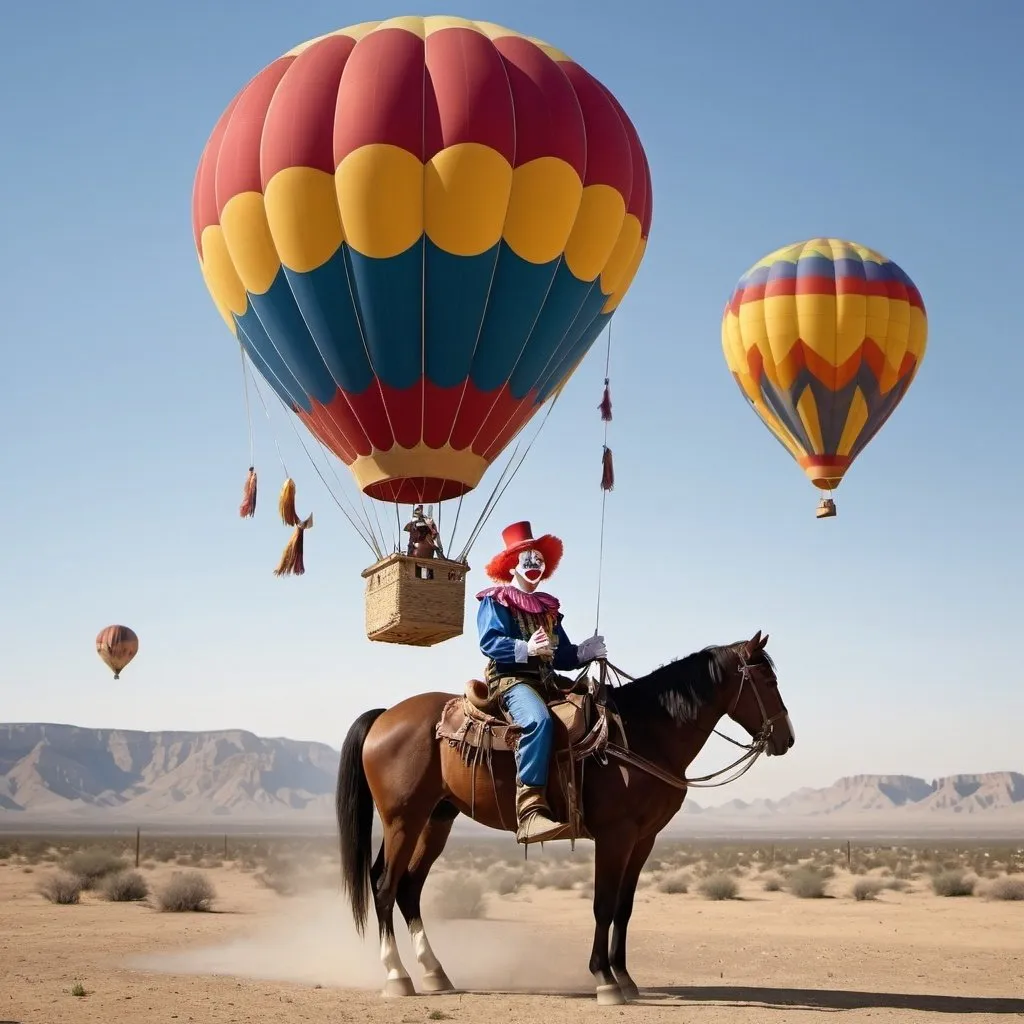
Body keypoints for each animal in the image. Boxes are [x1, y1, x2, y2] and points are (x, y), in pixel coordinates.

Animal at [335, 626, 790, 1003]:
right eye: (768, 681)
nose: (786, 739)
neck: (644, 733)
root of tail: (386, 715)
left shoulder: (644, 839)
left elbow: (624, 907)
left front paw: (626, 978)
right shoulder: (615, 835)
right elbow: (603, 905)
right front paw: (605, 980)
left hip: (437, 820)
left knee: (410, 887)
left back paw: (435, 973)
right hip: (403, 819)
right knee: (385, 885)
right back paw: (398, 977)